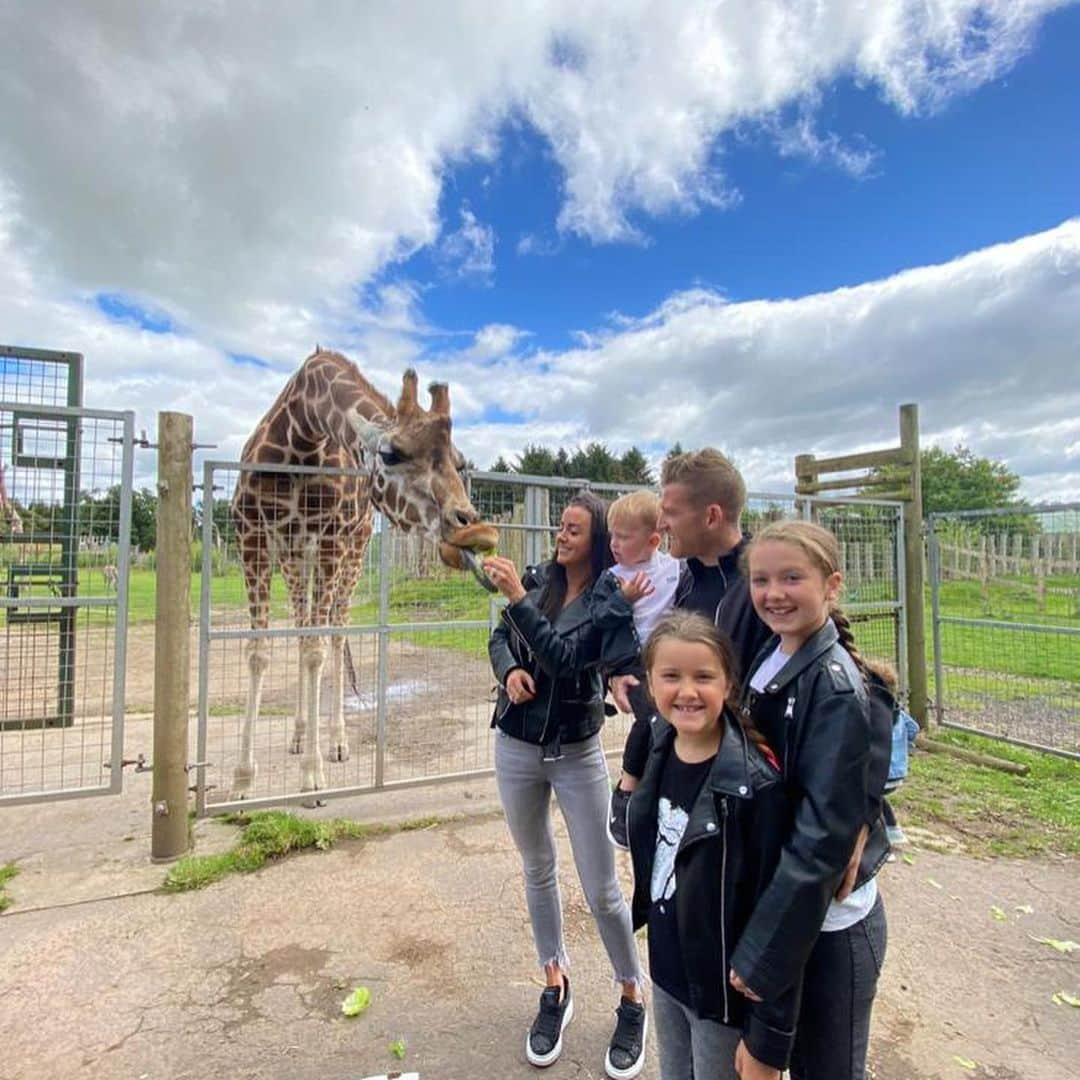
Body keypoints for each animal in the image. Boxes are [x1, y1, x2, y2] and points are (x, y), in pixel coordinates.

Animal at [231, 349, 496, 799]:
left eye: (459, 462)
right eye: (390, 454)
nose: (470, 528)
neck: (301, 432)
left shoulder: (331, 541)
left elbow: (317, 649)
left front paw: (312, 774)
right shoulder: (252, 537)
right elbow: (259, 651)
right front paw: (242, 780)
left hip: (350, 553)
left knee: (335, 634)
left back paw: (336, 743)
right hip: (294, 558)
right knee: (302, 625)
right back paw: (299, 734)